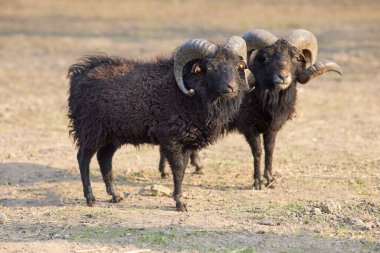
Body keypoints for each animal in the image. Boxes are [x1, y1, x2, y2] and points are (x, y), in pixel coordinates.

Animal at [67, 35, 252, 210]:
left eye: (238, 65)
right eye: (211, 67)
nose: (231, 87)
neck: (185, 94)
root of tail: (79, 74)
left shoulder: (186, 142)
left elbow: (183, 168)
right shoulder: (170, 139)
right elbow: (178, 170)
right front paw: (180, 203)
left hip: (111, 136)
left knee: (104, 158)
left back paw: (115, 196)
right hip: (90, 129)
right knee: (83, 158)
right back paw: (90, 198)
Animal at [159, 28, 342, 190]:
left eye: (296, 57)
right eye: (266, 57)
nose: (283, 77)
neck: (265, 98)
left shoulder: (272, 127)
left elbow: (270, 150)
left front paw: (270, 180)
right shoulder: (249, 127)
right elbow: (258, 152)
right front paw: (258, 183)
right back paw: (168, 171)